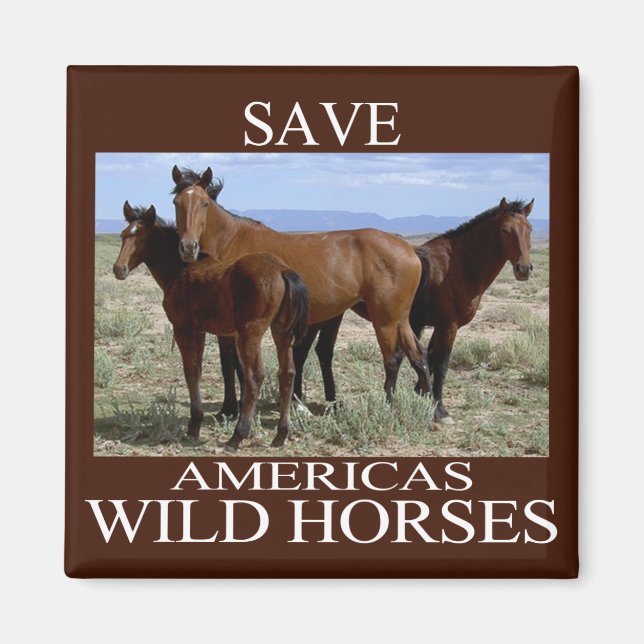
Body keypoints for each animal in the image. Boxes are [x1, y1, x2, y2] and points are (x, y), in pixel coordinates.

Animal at [112, 202, 310, 450]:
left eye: (144, 238)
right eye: (123, 235)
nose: (119, 269)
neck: (179, 271)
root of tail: (282, 270)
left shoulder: (183, 328)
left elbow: (190, 371)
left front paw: (194, 427)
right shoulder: (200, 331)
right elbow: (197, 370)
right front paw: (195, 424)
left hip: (250, 333)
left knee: (255, 375)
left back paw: (237, 436)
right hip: (281, 331)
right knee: (287, 373)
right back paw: (280, 435)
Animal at [170, 166, 431, 416]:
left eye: (204, 203)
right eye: (176, 203)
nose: (188, 247)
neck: (233, 243)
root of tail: (410, 248)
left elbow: (236, 366)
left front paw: (235, 409)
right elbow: (229, 365)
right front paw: (229, 409)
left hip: (384, 319)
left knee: (393, 359)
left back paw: (388, 407)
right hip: (400, 318)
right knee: (418, 354)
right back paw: (434, 408)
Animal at [299, 197, 536, 423]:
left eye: (530, 229)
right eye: (506, 230)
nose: (524, 269)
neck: (457, 266)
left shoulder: (433, 325)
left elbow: (427, 358)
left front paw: (422, 394)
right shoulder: (448, 325)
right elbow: (440, 363)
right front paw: (438, 407)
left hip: (334, 314)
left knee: (321, 350)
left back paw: (326, 402)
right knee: (306, 350)